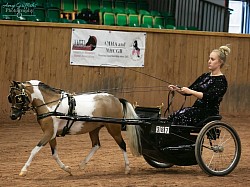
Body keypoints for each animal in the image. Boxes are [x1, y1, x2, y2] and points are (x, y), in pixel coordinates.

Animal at [8, 80, 143, 177]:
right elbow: (54, 154)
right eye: (10, 97)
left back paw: (127, 168)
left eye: (18, 97)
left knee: (122, 144)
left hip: (113, 128)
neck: (51, 104)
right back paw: (82, 164)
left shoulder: (49, 133)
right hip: (94, 128)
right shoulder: (51, 134)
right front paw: (67, 169)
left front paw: (23, 170)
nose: (13, 116)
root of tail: (116, 99)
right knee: (96, 145)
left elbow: (34, 150)